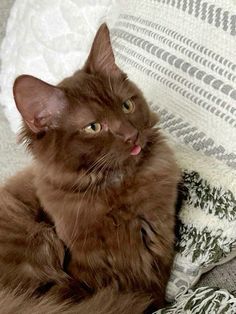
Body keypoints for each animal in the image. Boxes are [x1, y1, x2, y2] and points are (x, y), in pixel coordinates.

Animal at [0, 23, 179, 312]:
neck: (115, 187)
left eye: (126, 105)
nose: (132, 135)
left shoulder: (159, 239)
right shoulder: (87, 267)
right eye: (93, 127)